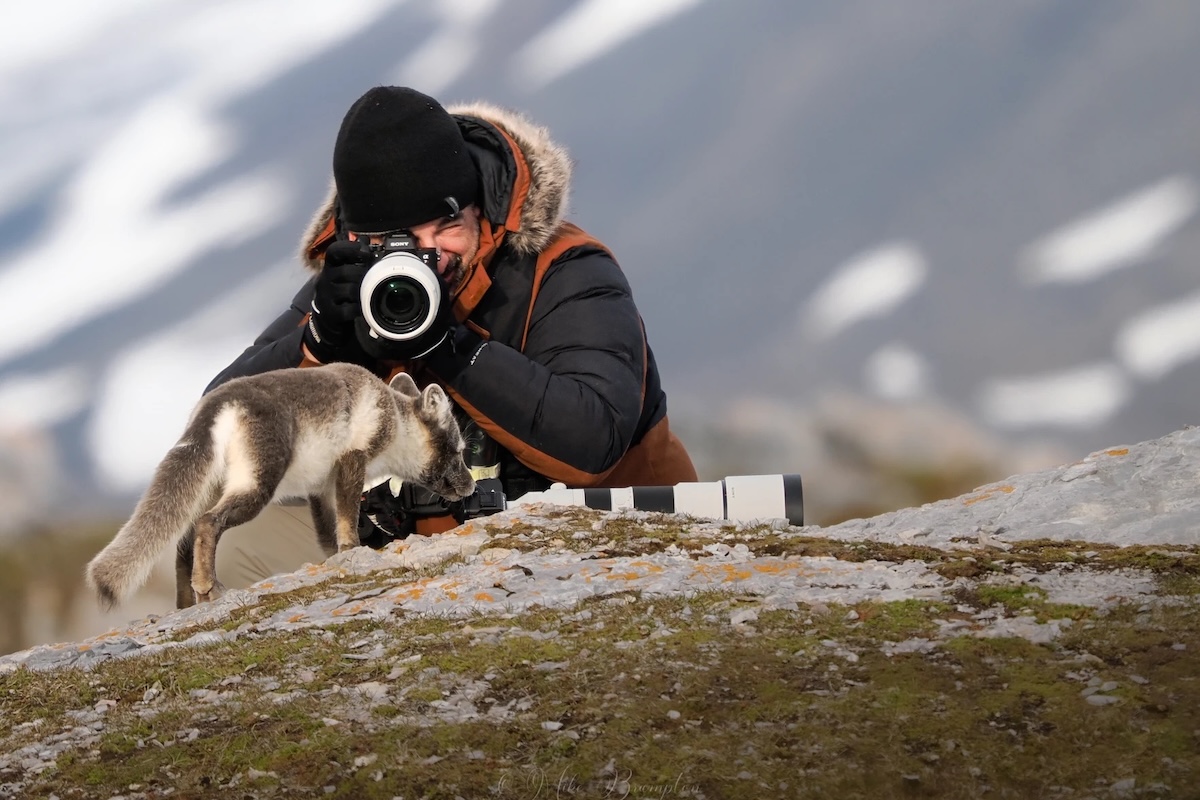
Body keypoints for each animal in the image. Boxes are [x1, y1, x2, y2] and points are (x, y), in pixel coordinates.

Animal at [85, 363, 475, 610]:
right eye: (458, 450)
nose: (472, 487)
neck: (393, 417)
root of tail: (216, 404)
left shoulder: (320, 486)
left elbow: (326, 533)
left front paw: (334, 559)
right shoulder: (353, 459)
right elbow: (348, 517)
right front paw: (354, 550)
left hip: (212, 488)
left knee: (182, 543)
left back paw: (185, 605)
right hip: (257, 486)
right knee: (208, 523)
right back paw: (209, 589)